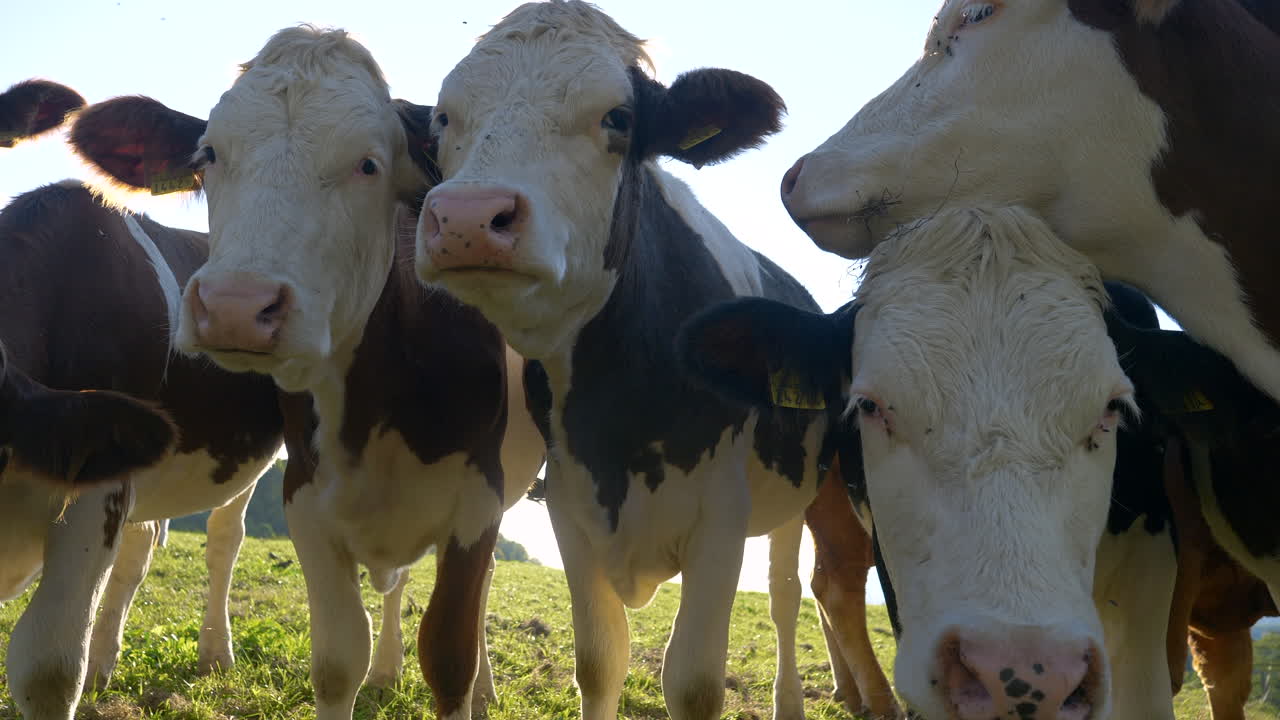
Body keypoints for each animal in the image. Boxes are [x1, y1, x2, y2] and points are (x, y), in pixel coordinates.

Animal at [0, 179, 287, 720]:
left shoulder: (97, 495)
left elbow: (47, 667)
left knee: (224, 539)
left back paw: (215, 653)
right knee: (139, 550)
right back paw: (102, 664)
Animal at [68, 26, 547, 720]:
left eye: (369, 164)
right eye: (209, 154)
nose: (236, 307)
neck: (380, 400)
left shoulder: (477, 503)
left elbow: (451, 655)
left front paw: (469, 684)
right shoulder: (308, 499)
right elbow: (339, 658)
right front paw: (367, 670)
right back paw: (386, 672)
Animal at [412, 3, 841, 718]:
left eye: (618, 117)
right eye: (444, 119)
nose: (468, 218)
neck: (618, 404)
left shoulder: (722, 518)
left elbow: (694, 681)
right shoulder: (569, 505)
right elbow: (600, 660)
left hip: (797, 497)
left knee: (785, 595)